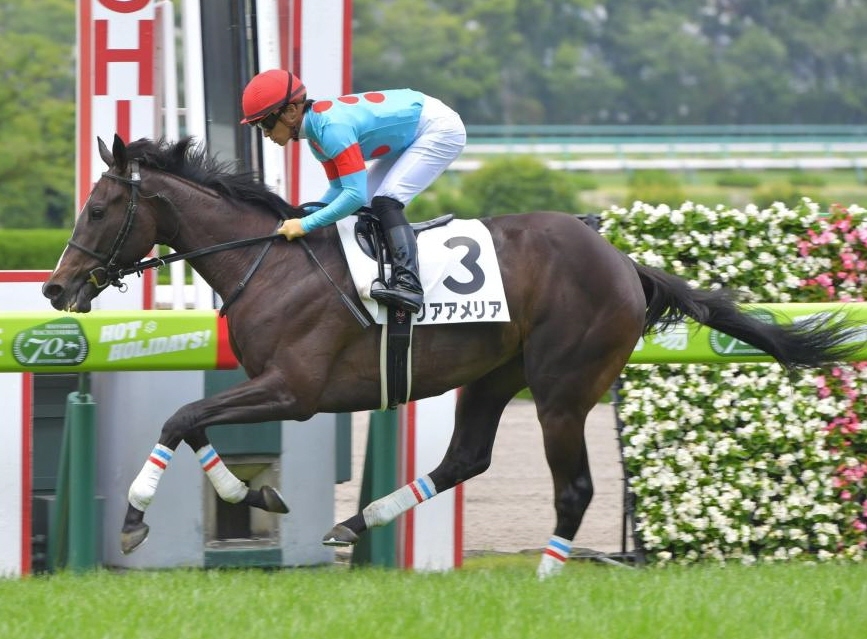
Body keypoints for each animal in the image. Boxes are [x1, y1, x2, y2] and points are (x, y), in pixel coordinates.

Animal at [43, 135, 858, 578]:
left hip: (562, 390)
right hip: (494, 377)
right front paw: (255, 496)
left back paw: (543, 574)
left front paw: (135, 518)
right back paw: (358, 522)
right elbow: (196, 423)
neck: (266, 261)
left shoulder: (294, 389)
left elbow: (181, 416)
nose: (55, 287)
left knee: (574, 489)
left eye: (98, 209)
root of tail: (625, 262)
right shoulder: (267, 384)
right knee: (467, 456)